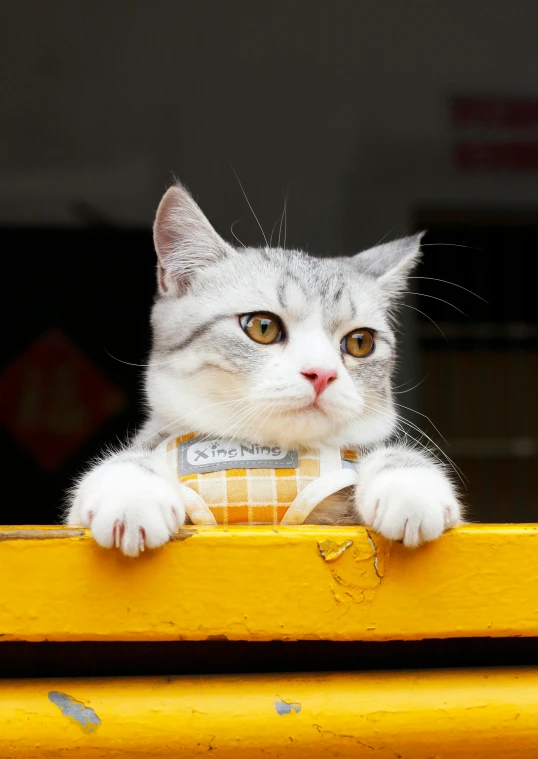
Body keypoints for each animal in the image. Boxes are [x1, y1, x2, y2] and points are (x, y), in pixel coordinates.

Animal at [65, 181, 458, 556]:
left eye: (360, 342)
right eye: (263, 327)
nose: (321, 374)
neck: (261, 457)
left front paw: (410, 486)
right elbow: (134, 459)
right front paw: (132, 494)